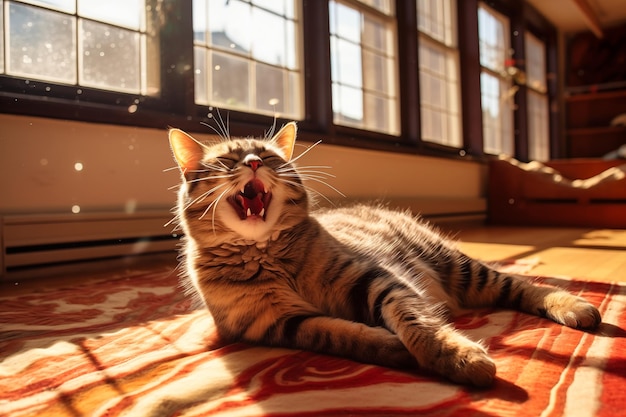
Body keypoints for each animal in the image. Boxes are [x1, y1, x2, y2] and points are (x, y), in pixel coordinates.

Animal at [167, 121, 600, 386]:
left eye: (271, 157)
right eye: (226, 160)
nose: (256, 163)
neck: (265, 253)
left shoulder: (373, 277)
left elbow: (414, 319)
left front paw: (453, 355)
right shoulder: (282, 323)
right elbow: (340, 336)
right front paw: (391, 347)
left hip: (458, 265)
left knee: (522, 285)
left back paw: (574, 306)